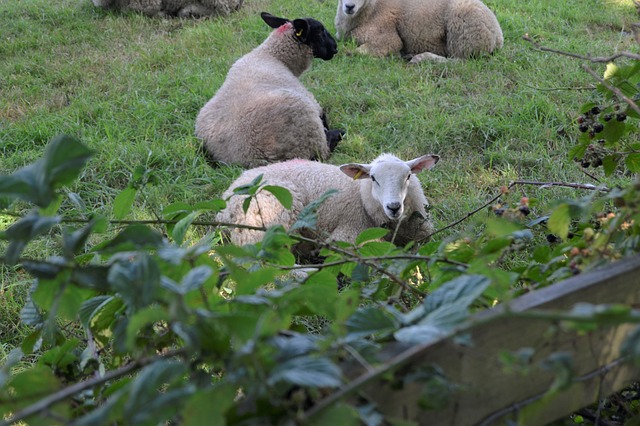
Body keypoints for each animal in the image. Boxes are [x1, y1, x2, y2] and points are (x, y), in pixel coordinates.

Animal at [195, 12, 344, 168]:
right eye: (320, 31)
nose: (335, 48)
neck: (272, 56)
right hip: (308, 134)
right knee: (323, 150)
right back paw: (339, 133)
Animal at [332, 0, 502, 63]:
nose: (349, 6)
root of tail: (498, 36)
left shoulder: (386, 37)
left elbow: (359, 51)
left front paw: (348, 52)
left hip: (464, 34)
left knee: (459, 61)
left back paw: (421, 58)